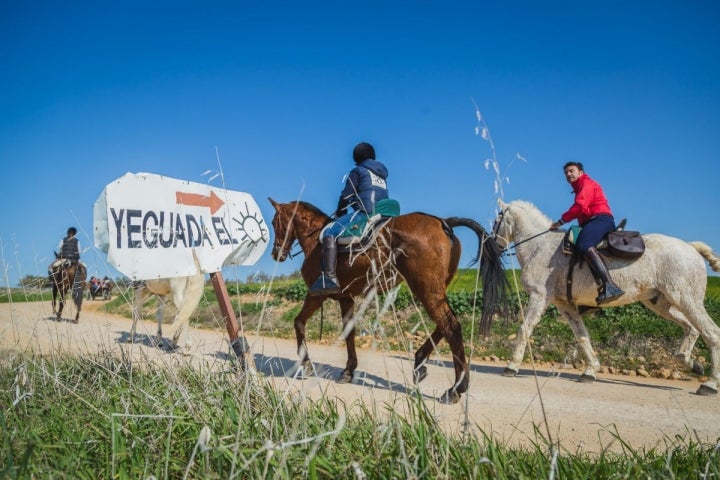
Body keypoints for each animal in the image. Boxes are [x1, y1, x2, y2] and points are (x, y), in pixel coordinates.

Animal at [268, 197, 504, 404]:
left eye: (273, 222)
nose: (275, 254)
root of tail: (443, 222)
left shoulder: (317, 294)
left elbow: (299, 322)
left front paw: (306, 364)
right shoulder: (346, 298)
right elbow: (349, 332)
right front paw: (348, 370)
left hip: (425, 289)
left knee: (450, 325)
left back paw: (456, 388)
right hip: (435, 290)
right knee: (446, 324)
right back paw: (420, 363)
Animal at [492, 199, 720, 398]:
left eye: (496, 221)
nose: (493, 247)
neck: (539, 246)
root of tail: (691, 247)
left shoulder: (539, 296)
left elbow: (525, 329)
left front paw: (511, 366)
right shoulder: (565, 304)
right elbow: (582, 336)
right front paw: (590, 370)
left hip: (686, 299)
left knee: (711, 333)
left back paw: (710, 384)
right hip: (661, 303)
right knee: (691, 329)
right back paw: (692, 364)